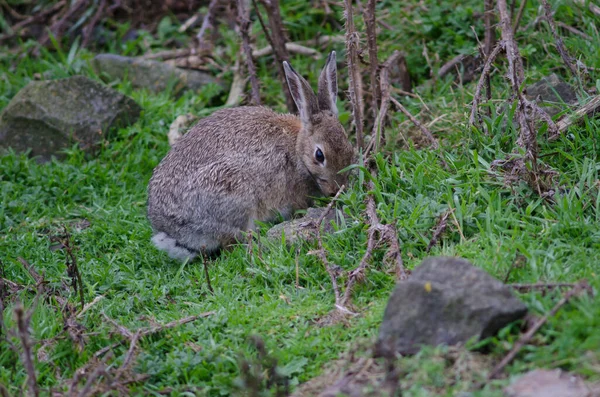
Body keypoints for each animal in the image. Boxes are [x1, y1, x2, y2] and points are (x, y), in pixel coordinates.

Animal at [147, 51, 354, 262]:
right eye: (319, 155)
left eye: (349, 146)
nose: (336, 190)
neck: (297, 148)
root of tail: (171, 232)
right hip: (234, 194)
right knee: (231, 243)